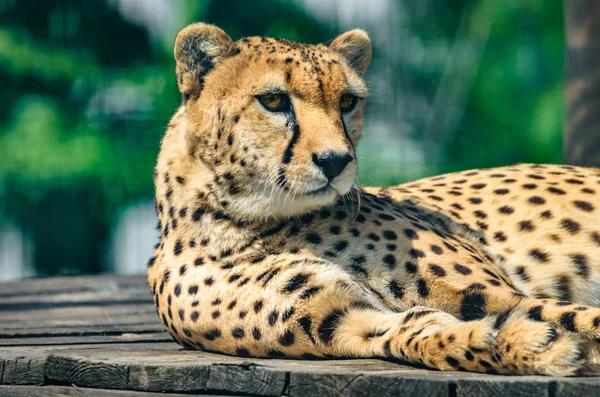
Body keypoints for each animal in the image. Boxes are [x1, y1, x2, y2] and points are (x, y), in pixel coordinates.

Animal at [148, 23, 600, 376]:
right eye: (273, 100)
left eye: (347, 101)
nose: (335, 161)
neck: (242, 221)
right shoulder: (342, 320)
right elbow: (420, 332)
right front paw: (528, 344)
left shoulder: (488, 289)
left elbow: (572, 313)